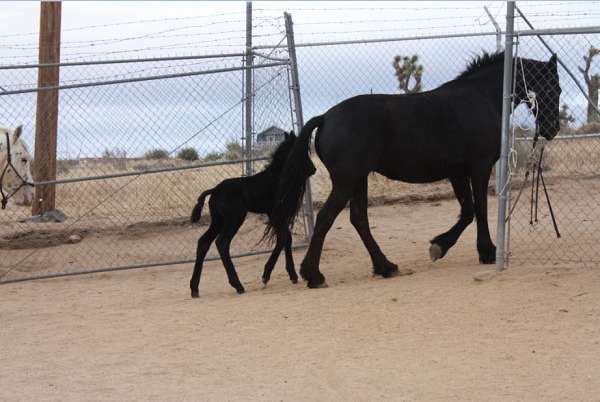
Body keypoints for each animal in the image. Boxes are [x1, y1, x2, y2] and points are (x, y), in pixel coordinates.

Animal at [190, 130, 302, 296]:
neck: (277, 175)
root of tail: (214, 190)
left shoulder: (273, 215)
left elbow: (286, 237)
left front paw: (292, 275)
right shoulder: (276, 213)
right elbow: (284, 237)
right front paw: (268, 276)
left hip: (218, 221)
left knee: (204, 242)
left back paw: (194, 289)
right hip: (234, 219)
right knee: (222, 243)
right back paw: (238, 285)